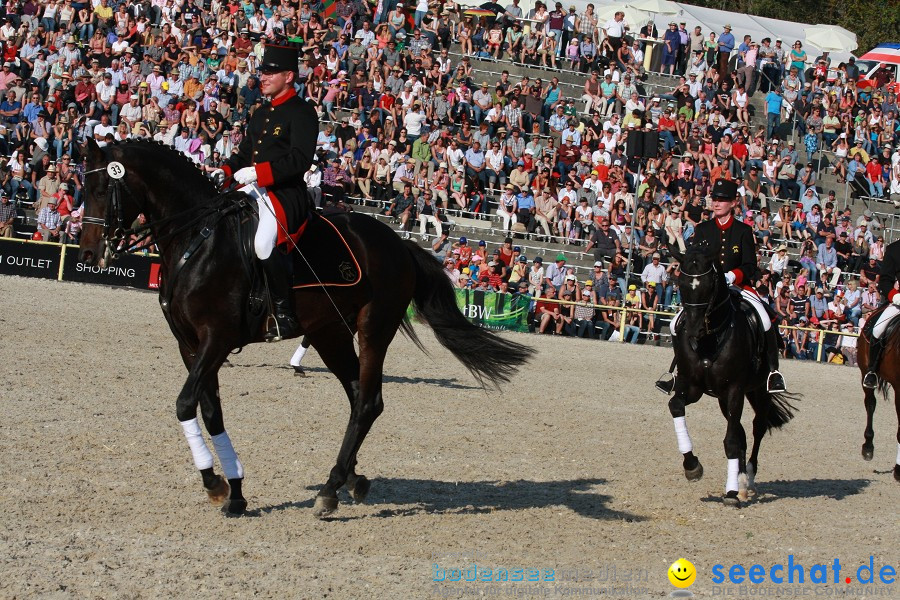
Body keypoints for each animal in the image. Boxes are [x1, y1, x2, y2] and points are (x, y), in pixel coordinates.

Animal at [77, 139, 536, 516]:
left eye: (101, 190)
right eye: (81, 188)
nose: (86, 254)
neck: (198, 240)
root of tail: (399, 243)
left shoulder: (216, 340)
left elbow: (185, 404)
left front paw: (215, 485)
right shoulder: (190, 345)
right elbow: (210, 410)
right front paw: (235, 492)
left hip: (373, 329)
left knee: (368, 402)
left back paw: (330, 489)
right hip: (330, 333)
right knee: (358, 397)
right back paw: (351, 479)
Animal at [664, 247, 800, 506]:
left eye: (710, 284)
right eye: (681, 283)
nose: (693, 330)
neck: (709, 340)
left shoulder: (735, 389)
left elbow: (731, 440)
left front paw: (731, 493)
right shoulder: (693, 386)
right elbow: (676, 406)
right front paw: (692, 466)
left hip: (758, 391)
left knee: (757, 428)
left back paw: (748, 479)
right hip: (723, 398)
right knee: (740, 431)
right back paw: (741, 480)